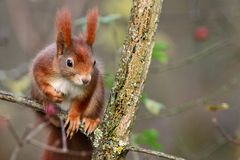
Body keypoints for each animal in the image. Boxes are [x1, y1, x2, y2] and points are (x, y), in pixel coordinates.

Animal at [30, 7, 104, 138]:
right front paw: (51, 94)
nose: (86, 80)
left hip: (97, 98)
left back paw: (92, 121)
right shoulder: (42, 64)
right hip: (35, 93)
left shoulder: (90, 86)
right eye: (69, 63)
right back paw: (47, 105)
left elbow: (80, 104)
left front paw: (74, 117)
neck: (67, 79)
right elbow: (38, 78)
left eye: (94, 62)